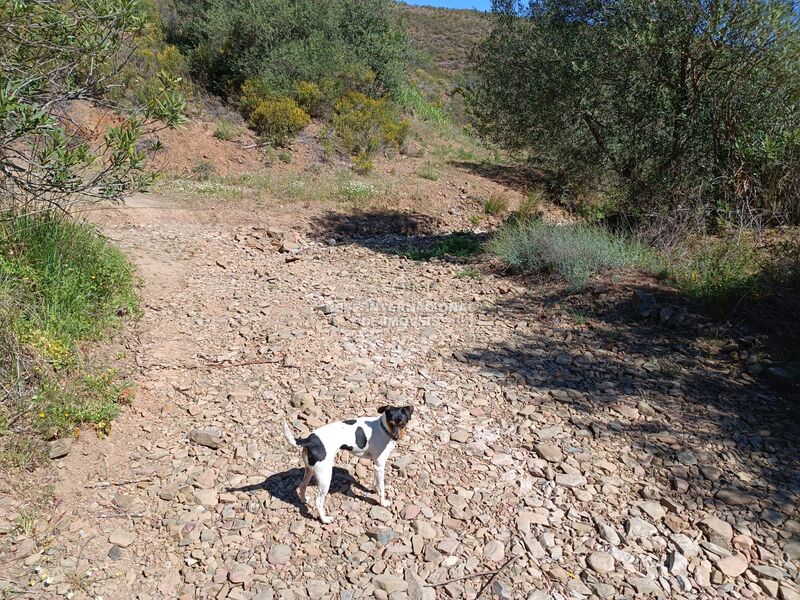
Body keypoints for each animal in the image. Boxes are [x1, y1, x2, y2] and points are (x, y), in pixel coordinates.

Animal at [282, 406, 412, 524]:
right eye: (391, 423)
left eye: (402, 423)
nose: (396, 437)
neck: (383, 427)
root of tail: (310, 440)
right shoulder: (380, 465)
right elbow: (382, 487)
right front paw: (383, 502)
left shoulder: (376, 465)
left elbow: (377, 483)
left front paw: (375, 489)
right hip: (325, 477)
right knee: (318, 501)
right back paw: (325, 520)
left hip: (310, 470)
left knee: (302, 485)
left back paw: (303, 500)